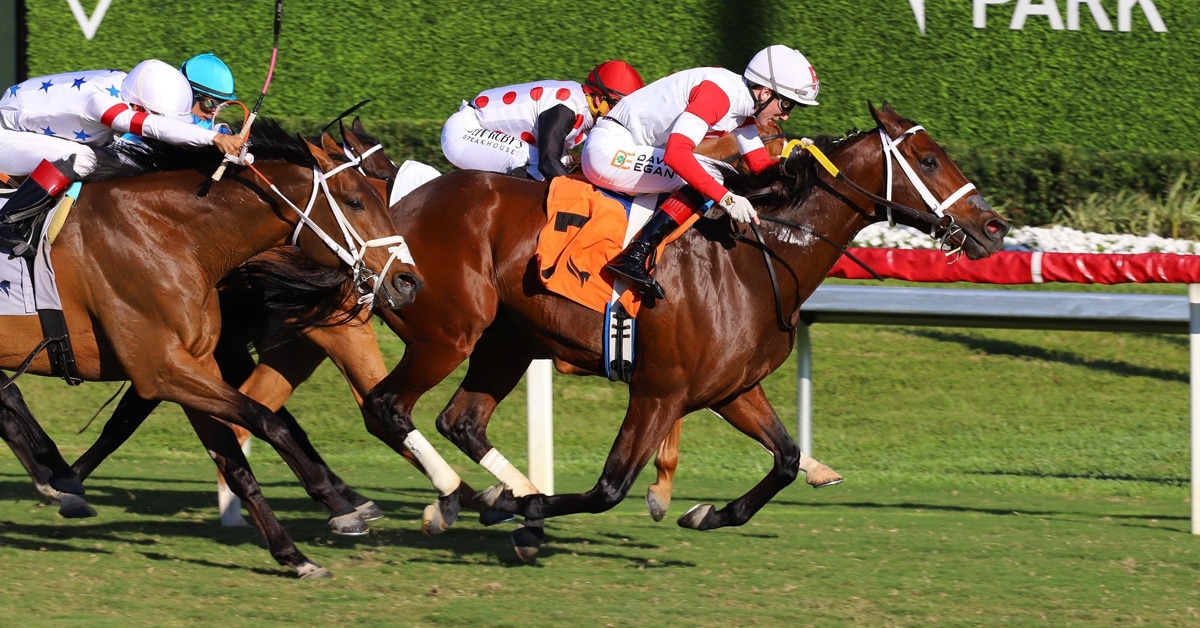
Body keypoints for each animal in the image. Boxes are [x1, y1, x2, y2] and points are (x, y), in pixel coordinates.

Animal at [0, 119, 422, 578]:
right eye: (355, 200)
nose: (408, 281)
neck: (169, 237)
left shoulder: (196, 365)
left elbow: (235, 461)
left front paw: (294, 555)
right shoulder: (161, 370)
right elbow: (266, 420)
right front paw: (338, 504)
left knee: (9, 398)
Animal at [353, 102, 1007, 559]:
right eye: (929, 161)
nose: (994, 227)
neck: (757, 255)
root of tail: (392, 216)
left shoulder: (731, 388)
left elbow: (787, 458)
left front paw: (706, 512)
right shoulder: (659, 391)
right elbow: (608, 488)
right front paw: (533, 517)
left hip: (506, 341)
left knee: (460, 419)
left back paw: (492, 494)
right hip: (449, 334)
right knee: (387, 407)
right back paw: (454, 500)